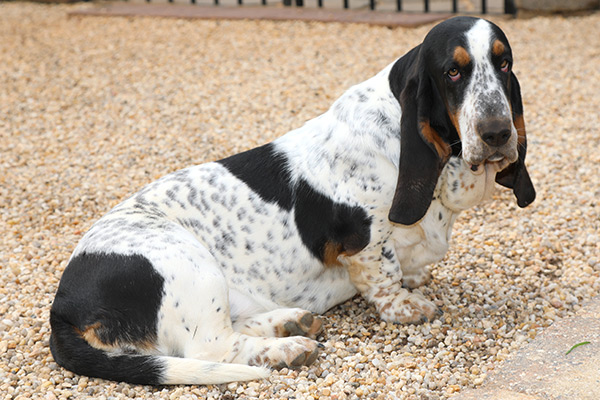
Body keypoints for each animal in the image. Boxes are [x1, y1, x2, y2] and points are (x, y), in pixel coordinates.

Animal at [50, 17, 536, 386]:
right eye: (453, 72)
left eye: (504, 63)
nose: (497, 133)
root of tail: (63, 304)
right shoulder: (367, 242)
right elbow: (384, 275)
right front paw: (406, 306)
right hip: (190, 263)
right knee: (212, 347)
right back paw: (287, 348)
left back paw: (290, 322)